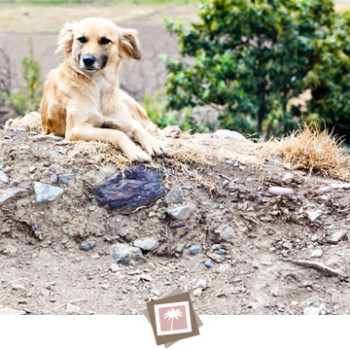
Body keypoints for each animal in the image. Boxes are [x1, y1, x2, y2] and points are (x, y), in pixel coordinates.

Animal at [39, 17, 168, 162]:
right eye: (81, 39)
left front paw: (153, 142)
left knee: (150, 125)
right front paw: (135, 151)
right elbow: (116, 133)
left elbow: (137, 128)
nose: (88, 60)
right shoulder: (77, 129)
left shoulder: (124, 120)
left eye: (105, 40)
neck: (98, 86)